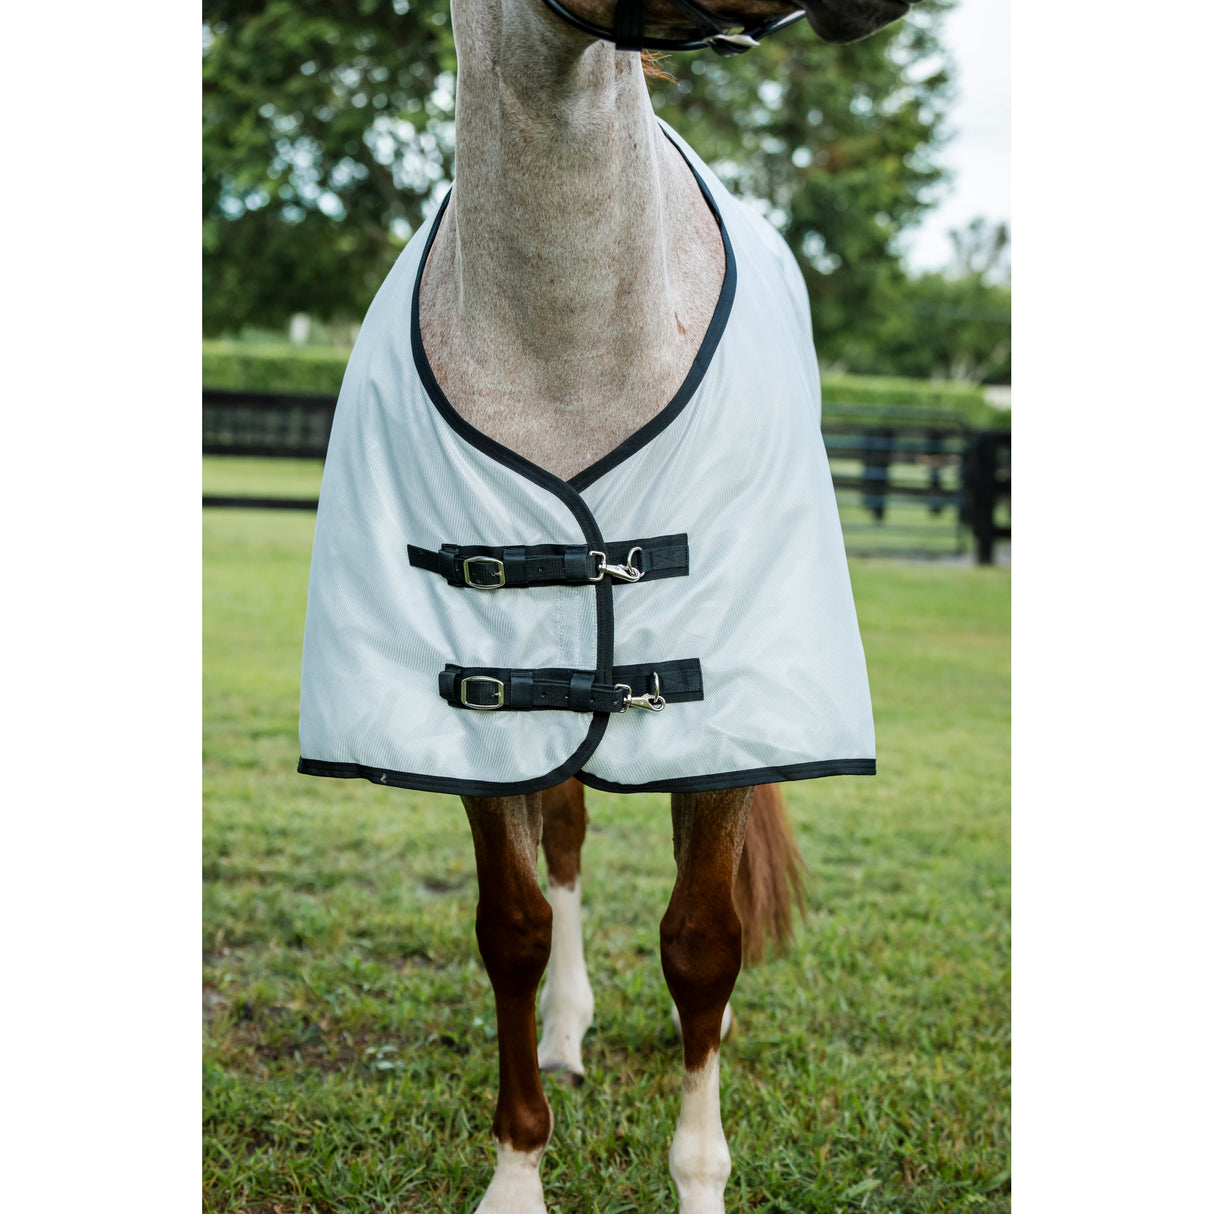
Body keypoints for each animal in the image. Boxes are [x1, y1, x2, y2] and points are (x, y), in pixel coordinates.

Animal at [297, 1, 917, 1209]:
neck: (566, 353)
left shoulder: (721, 717)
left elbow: (702, 941)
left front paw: (699, 1178)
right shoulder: (481, 711)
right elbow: (514, 928)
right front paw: (516, 1171)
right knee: (571, 837)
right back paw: (565, 1030)